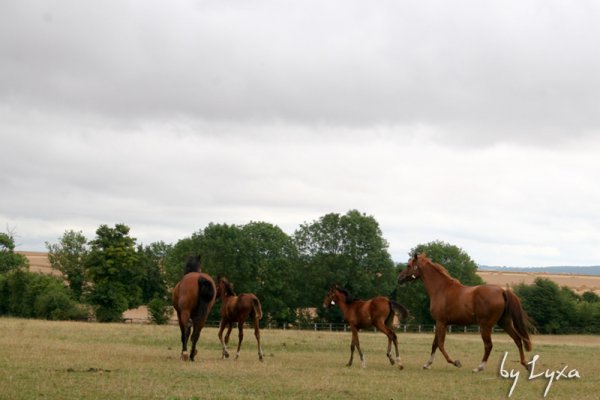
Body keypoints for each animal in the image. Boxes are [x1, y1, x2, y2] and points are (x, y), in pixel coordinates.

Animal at [396, 253, 532, 372]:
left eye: (408, 265)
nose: (399, 279)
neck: (441, 289)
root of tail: (502, 291)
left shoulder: (440, 322)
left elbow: (440, 344)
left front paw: (455, 362)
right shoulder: (441, 323)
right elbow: (435, 344)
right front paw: (427, 364)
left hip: (486, 326)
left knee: (489, 345)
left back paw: (479, 367)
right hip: (504, 323)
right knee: (517, 340)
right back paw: (525, 364)